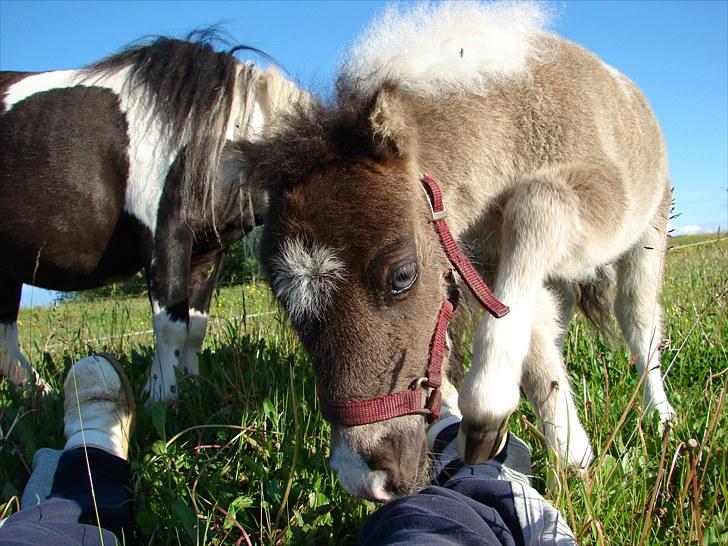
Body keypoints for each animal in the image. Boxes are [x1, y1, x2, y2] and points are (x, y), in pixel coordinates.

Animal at [0, 33, 302, 400]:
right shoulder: (163, 233)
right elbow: (171, 324)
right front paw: (161, 396)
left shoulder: (207, 252)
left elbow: (195, 327)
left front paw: (190, 389)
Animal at [245, 2, 676, 500]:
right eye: (281, 298)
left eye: (402, 275)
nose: (366, 478)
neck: (512, 124)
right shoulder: (483, 265)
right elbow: (529, 340)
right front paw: (575, 460)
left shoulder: (602, 201)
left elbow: (536, 202)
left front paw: (489, 409)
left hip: (648, 228)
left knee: (638, 322)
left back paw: (662, 418)